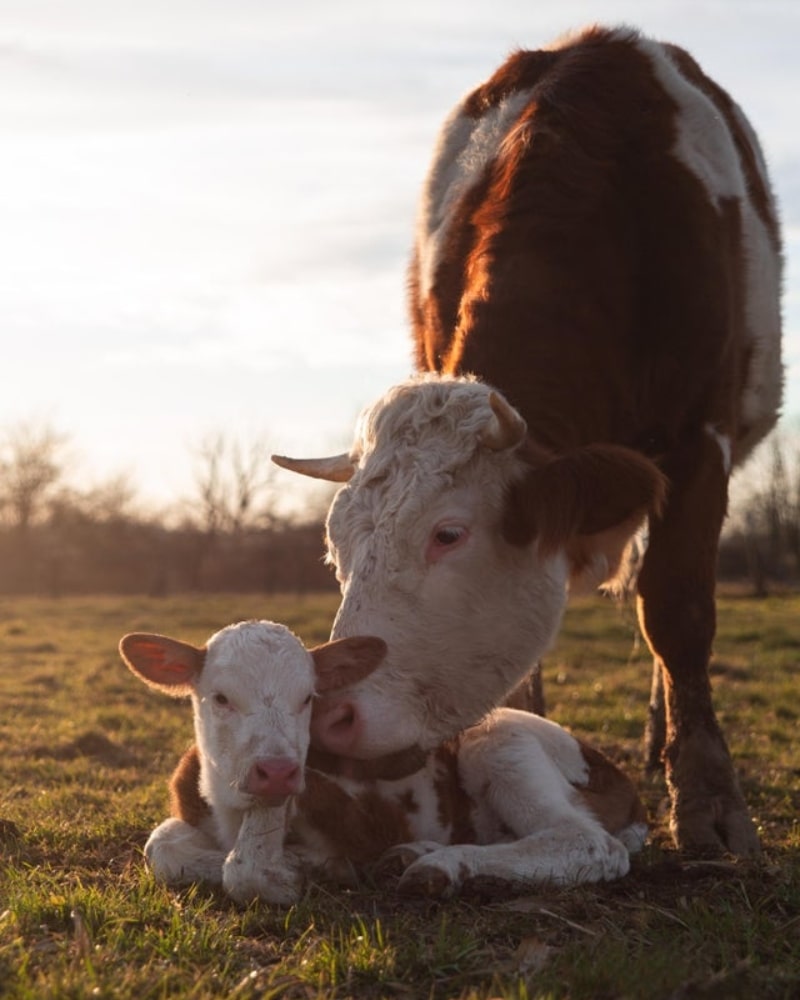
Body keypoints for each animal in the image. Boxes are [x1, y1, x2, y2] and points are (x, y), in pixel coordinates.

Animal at [119, 620, 648, 904]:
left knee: (586, 842)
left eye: (308, 698)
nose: (279, 771)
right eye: (221, 697)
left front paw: (310, 866)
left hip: (498, 738)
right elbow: (161, 848)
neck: (229, 812)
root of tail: (625, 785)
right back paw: (413, 855)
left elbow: (247, 871)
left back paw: (441, 866)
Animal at [274, 21, 780, 860]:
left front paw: (710, 799)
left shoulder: (699, 442)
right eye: (335, 551)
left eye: (449, 534)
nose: (329, 718)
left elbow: (678, 611)